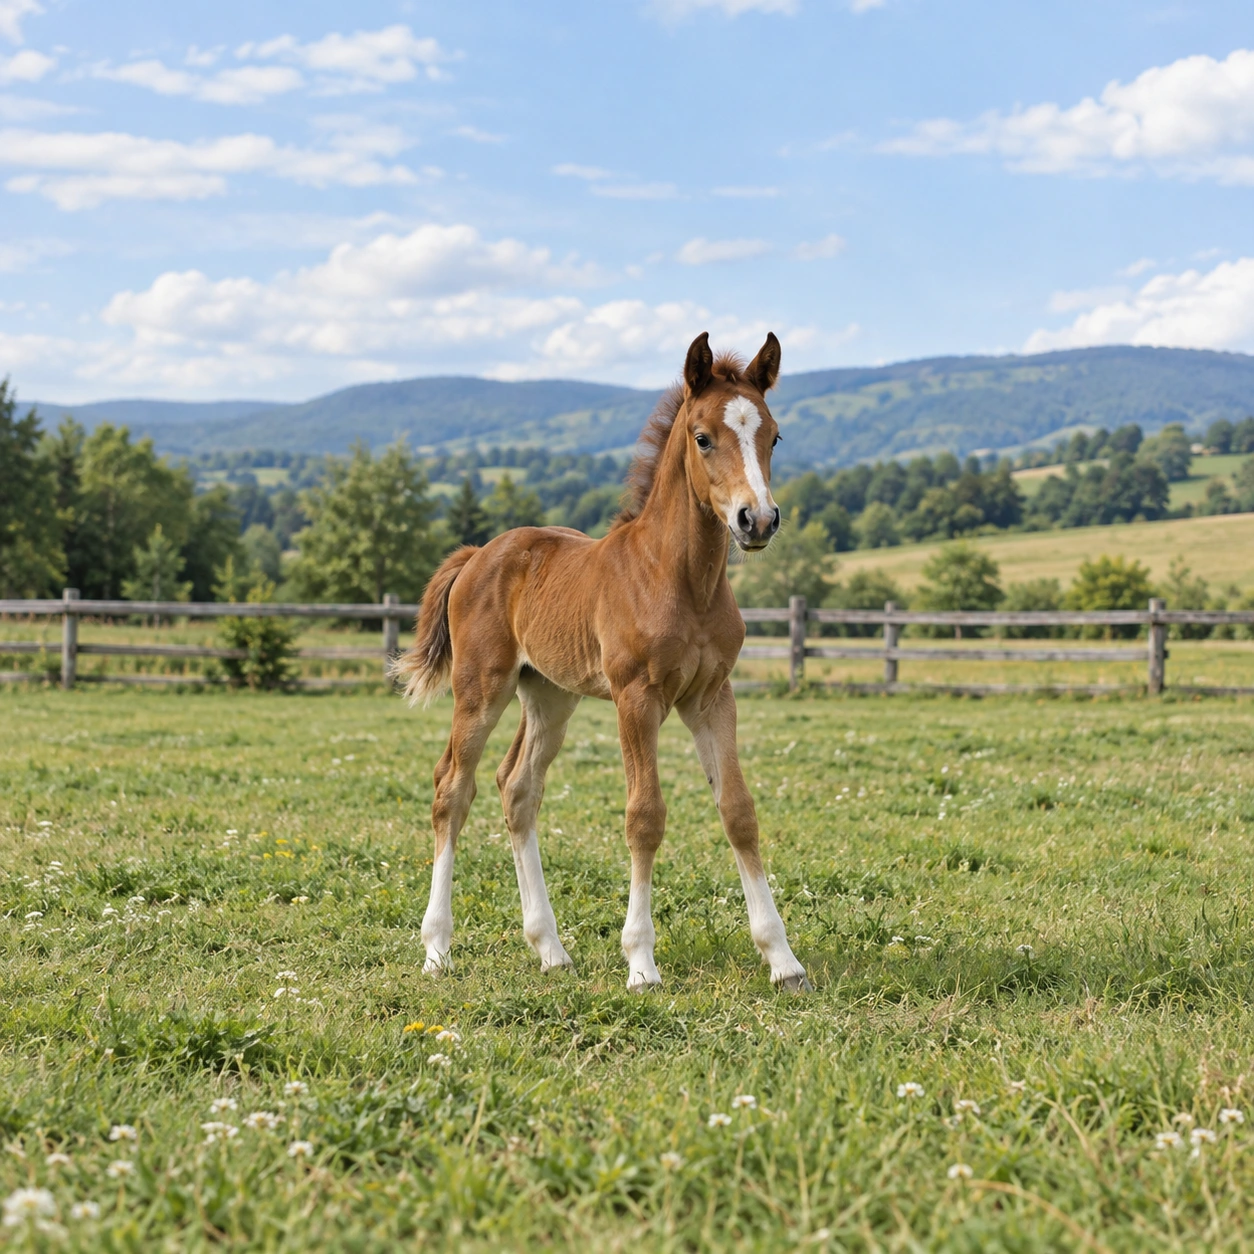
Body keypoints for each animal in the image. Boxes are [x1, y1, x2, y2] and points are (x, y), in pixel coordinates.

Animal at [395, 331, 810, 993]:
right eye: (702, 437)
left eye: (772, 436)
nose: (758, 519)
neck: (679, 579)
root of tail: (479, 553)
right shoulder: (635, 697)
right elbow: (645, 815)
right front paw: (641, 962)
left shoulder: (712, 697)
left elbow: (739, 812)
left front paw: (783, 960)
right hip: (481, 688)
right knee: (452, 789)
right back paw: (438, 948)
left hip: (548, 695)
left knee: (517, 788)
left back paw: (550, 949)